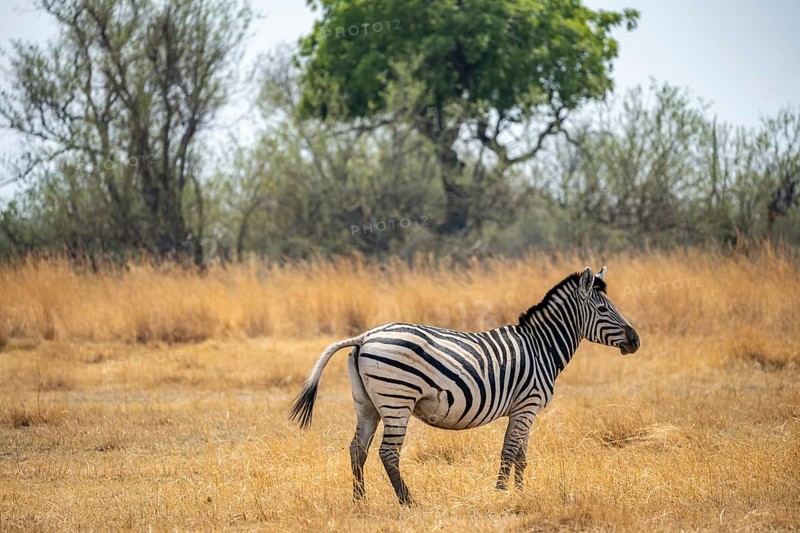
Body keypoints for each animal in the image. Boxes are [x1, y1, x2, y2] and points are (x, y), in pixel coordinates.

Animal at [289, 266, 640, 504]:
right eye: (603, 309)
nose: (636, 341)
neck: (541, 347)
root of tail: (364, 337)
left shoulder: (524, 410)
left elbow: (521, 456)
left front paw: (520, 494)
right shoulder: (528, 405)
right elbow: (509, 451)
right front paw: (501, 493)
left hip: (367, 404)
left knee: (356, 449)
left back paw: (360, 501)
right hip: (397, 399)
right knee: (387, 452)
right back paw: (408, 502)